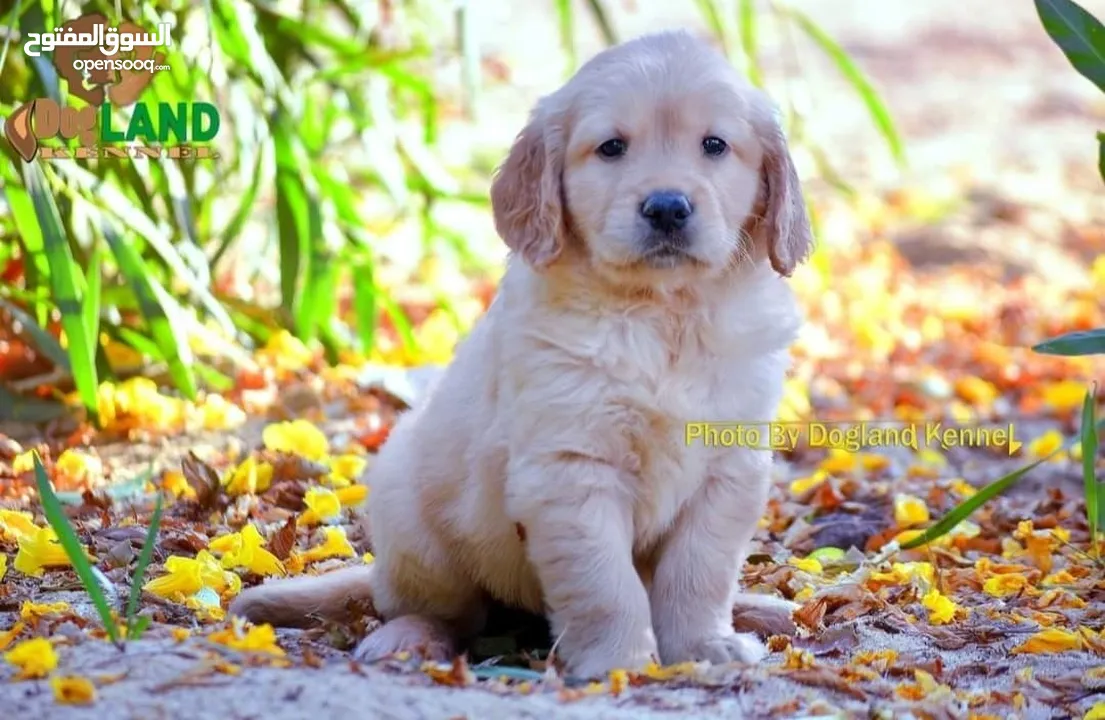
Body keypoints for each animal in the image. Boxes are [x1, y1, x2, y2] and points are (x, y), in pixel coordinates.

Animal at [228, 29, 808, 680]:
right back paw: (410, 637)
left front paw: (706, 645)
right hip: (415, 526)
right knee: (433, 610)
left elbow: (699, 572)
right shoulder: (570, 469)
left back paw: (762, 610)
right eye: (611, 148)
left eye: (715, 145)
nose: (666, 207)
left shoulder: (729, 468)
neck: (664, 317)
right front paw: (619, 661)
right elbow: (606, 583)